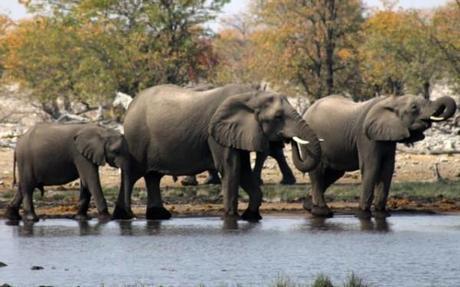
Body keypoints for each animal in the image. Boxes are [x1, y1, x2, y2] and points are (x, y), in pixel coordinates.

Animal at [112, 84, 322, 222]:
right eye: (278, 117)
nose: (288, 139)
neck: (251, 96)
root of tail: (131, 106)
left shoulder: (237, 132)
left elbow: (242, 169)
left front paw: (251, 217)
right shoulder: (216, 135)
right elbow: (231, 168)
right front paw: (231, 217)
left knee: (153, 176)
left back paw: (158, 216)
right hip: (137, 138)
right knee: (133, 174)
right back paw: (124, 216)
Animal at [302, 94, 456, 218]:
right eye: (414, 108)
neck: (391, 101)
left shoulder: (388, 137)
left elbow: (388, 169)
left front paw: (382, 215)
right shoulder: (366, 137)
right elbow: (372, 167)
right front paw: (363, 215)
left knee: (334, 173)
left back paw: (309, 206)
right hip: (310, 140)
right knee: (318, 171)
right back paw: (322, 212)